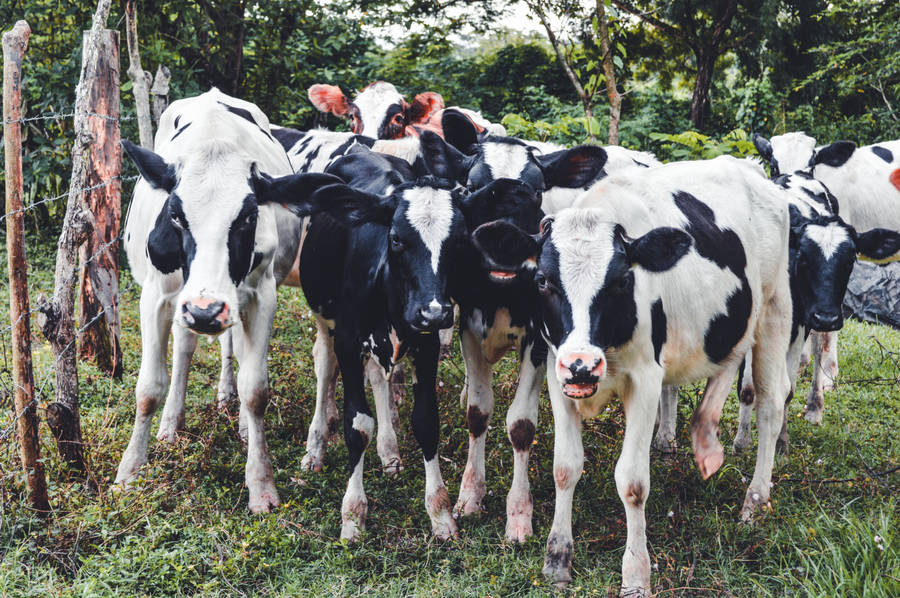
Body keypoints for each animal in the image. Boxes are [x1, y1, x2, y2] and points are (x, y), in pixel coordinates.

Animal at [114, 88, 342, 512]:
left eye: (248, 216)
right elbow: (149, 387)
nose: (204, 311)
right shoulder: (157, 296)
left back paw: (237, 419)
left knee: (230, 348)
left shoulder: (260, 296)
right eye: (175, 214)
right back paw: (171, 425)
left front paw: (261, 483)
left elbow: (256, 390)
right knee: (185, 348)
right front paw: (129, 471)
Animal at [492, 156, 795, 594]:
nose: (583, 364)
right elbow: (565, 467)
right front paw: (557, 558)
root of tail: (748, 168)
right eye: (543, 280)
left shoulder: (646, 380)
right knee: (726, 362)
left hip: (774, 307)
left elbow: (632, 482)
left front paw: (636, 575)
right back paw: (706, 442)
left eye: (621, 281)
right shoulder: (556, 371)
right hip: (734, 316)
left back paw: (754, 501)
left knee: (771, 404)